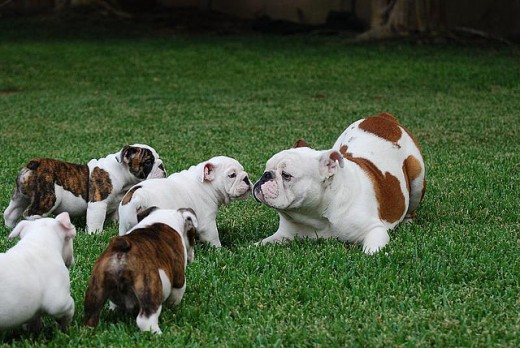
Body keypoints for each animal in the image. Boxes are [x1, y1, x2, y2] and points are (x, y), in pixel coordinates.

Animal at [3, 144, 166, 234]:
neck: (121, 173)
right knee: (31, 214)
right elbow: (95, 221)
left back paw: (11, 227)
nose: (162, 166)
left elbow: (116, 216)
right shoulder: (98, 203)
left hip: (20, 196)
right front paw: (96, 234)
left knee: (11, 211)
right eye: (148, 162)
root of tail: (34, 164)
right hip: (48, 198)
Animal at [118, 156, 252, 246]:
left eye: (243, 170)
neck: (206, 184)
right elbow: (214, 236)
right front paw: (220, 250)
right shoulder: (207, 222)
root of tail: (138, 197)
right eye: (232, 175)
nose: (246, 177)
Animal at [253, 113, 426, 254]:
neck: (315, 215)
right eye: (266, 169)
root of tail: (384, 117)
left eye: (286, 175)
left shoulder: (375, 230)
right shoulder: (283, 235)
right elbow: (260, 244)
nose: (265, 176)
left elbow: (371, 252)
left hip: (417, 177)